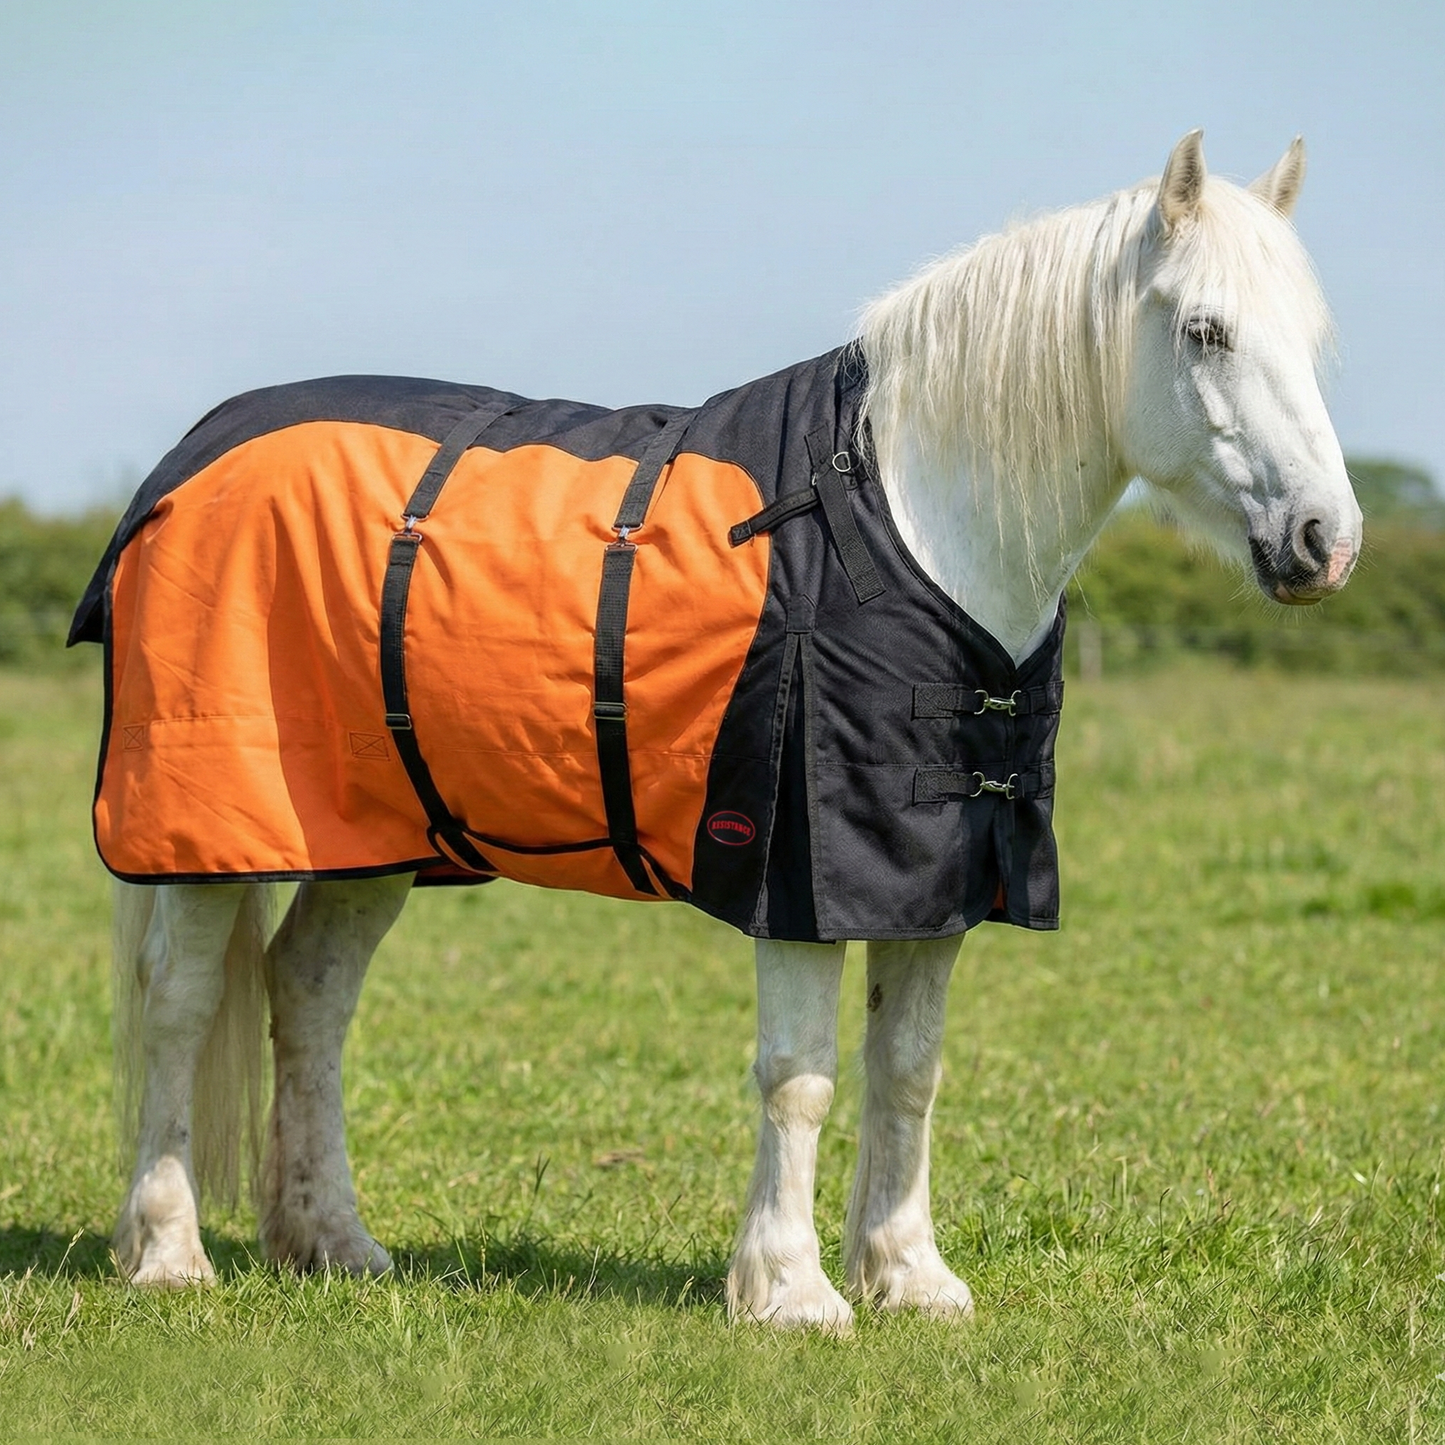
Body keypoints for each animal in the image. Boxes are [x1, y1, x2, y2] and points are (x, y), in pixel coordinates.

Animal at [76, 131, 1359, 1331]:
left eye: (1309, 336)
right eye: (1202, 331)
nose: (1324, 540)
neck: (909, 528)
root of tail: (192, 457)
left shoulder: (930, 877)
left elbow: (908, 1071)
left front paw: (908, 1275)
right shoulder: (798, 868)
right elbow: (799, 1076)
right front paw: (789, 1288)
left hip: (373, 833)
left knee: (309, 993)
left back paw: (330, 1240)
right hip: (206, 825)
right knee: (180, 1004)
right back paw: (168, 1251)